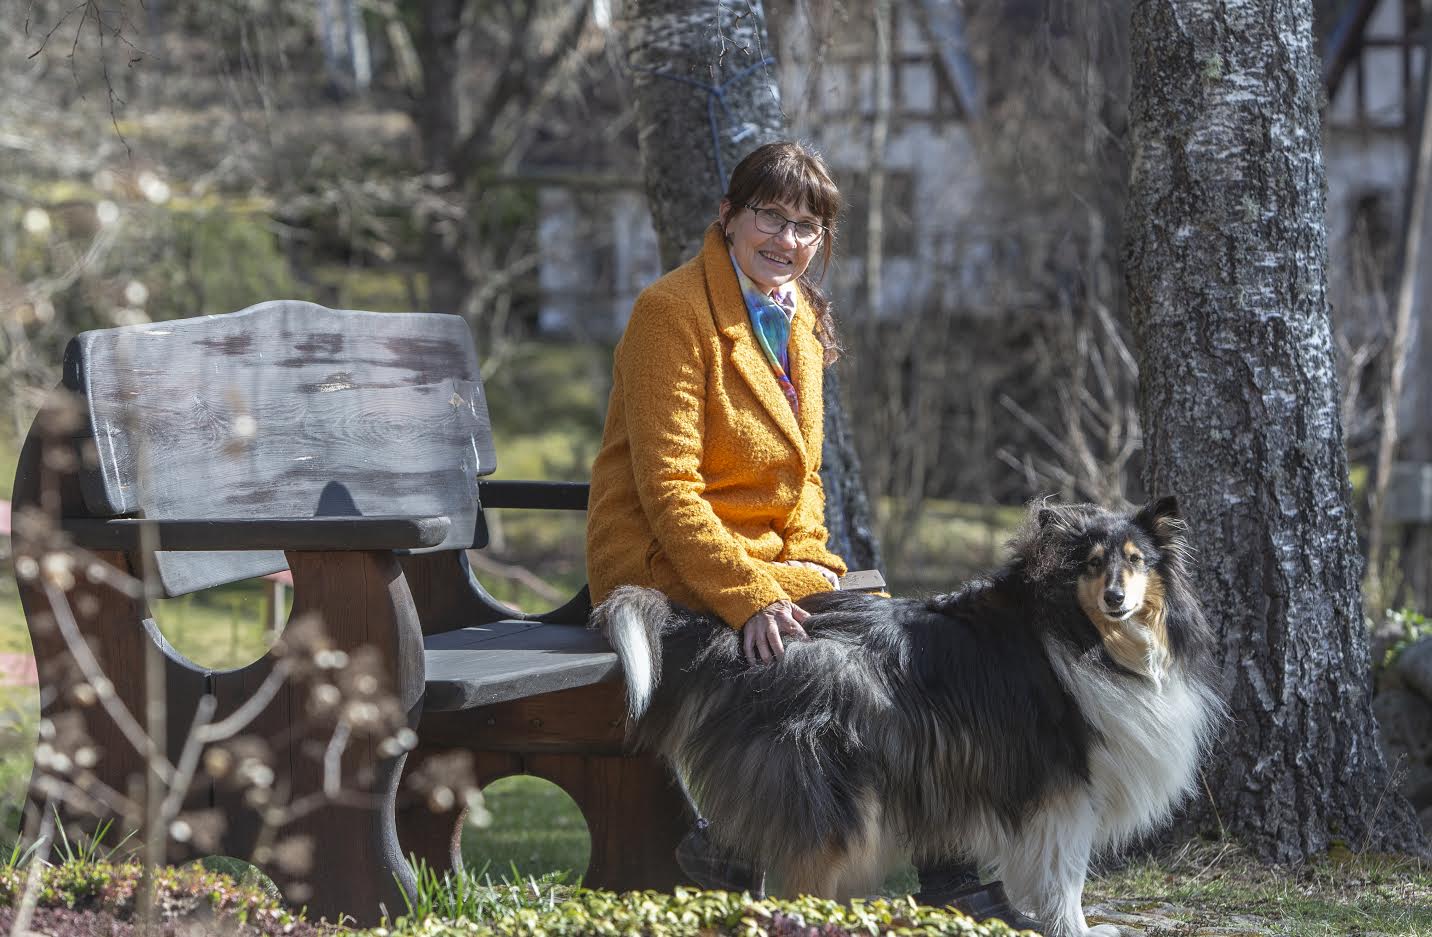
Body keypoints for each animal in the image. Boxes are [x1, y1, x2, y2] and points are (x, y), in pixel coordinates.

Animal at [592, 495, 1220, 934]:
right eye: (1091, 565)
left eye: (1136, 561)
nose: (1116, 599)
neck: (1080, 632)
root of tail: (739, 637)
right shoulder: (1061, 786)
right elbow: (1065, 876)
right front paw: (1077, 930)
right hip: (834, 801)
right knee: (799, 877)